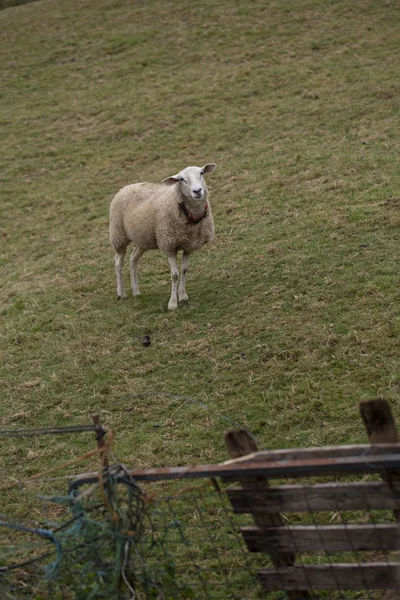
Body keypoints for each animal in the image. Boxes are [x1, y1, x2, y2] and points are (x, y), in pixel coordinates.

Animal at [108, 163, 216, 310]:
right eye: (181, 179)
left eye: (201, 173)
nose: (197, 191)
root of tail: (126, 187)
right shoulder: (168, 245)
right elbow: (175, 275)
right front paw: (172, 303)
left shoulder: (189, 245)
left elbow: (184, 270)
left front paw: (183, 296)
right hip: (119, 235)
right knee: (118, 262)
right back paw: (121, 293)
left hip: (143, 239)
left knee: (133, 259)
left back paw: (136, 291)